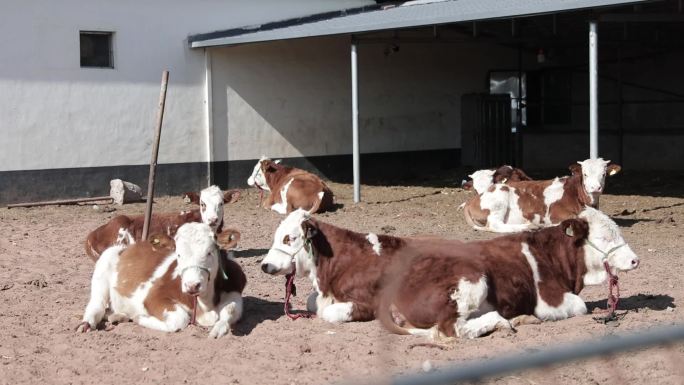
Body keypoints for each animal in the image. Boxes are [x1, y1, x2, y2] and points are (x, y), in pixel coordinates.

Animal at [76, 220, 247, 338]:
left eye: (210, 252)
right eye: (178, 254)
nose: (192, 285)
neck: (205, 305)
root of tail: (128, 247)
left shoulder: (235, 291)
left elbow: (230, 310)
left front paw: (218, 329)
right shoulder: (153, 295)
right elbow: (179, 319)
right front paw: (139, 317)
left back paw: (119, 316)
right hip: (102, 269)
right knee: (96, 306)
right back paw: (87, 324)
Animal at [260, 206, 640, 338]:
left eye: (289, 237)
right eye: (606, 237)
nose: (265, 264)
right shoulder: (552, 301)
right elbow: (316, 305)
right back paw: (504, 321)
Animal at [464, 157, 620, 231]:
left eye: (604, 174)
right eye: (585, 174)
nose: (595, 187)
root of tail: (472, 200)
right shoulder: (555, 213)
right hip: (499, 200)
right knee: (496, 225)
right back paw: (530, 227)